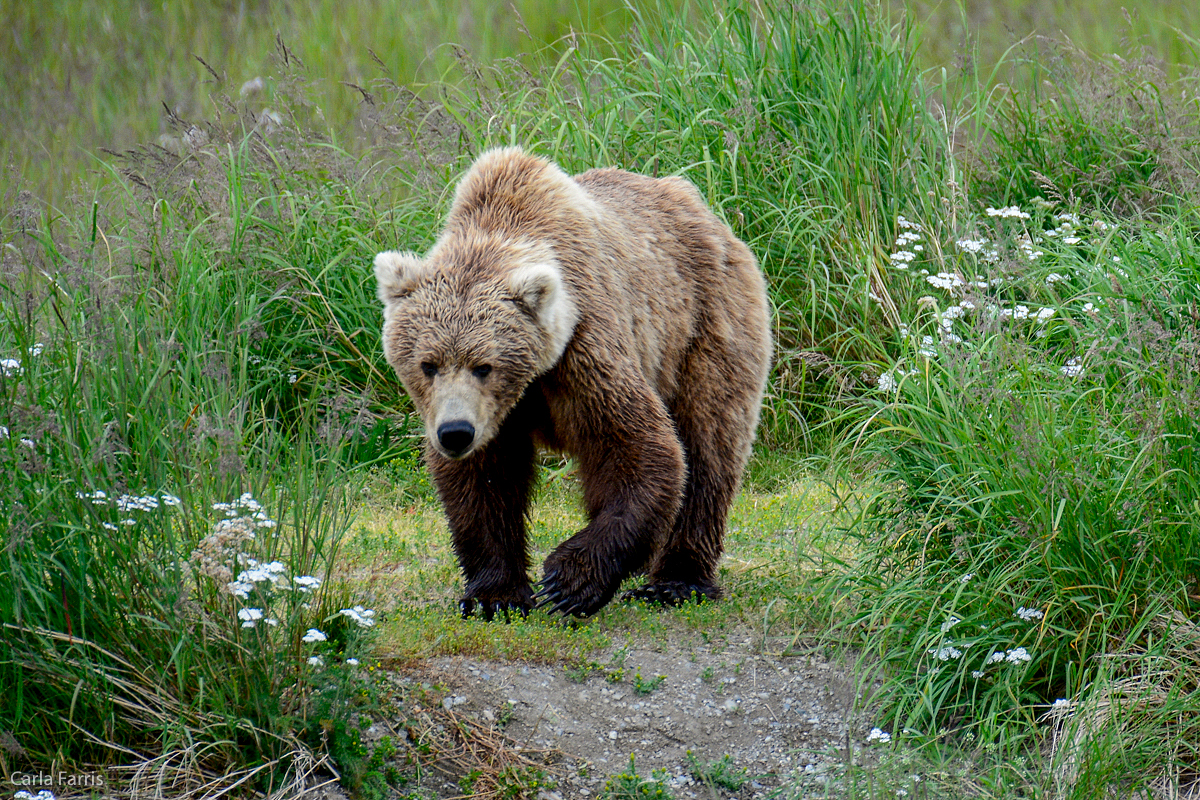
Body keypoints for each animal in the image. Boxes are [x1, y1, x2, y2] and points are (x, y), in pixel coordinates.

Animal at [372, 148, 768, 618]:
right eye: (428, 364)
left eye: (484, 365)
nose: (455, 433)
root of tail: (709, 216)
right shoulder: (492, 414)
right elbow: (484, 481)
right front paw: (494, 596)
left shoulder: (583, 351)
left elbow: (640, 450)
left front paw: (568, 582)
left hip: (704, 326)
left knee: (709, 443)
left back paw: (675, 582)